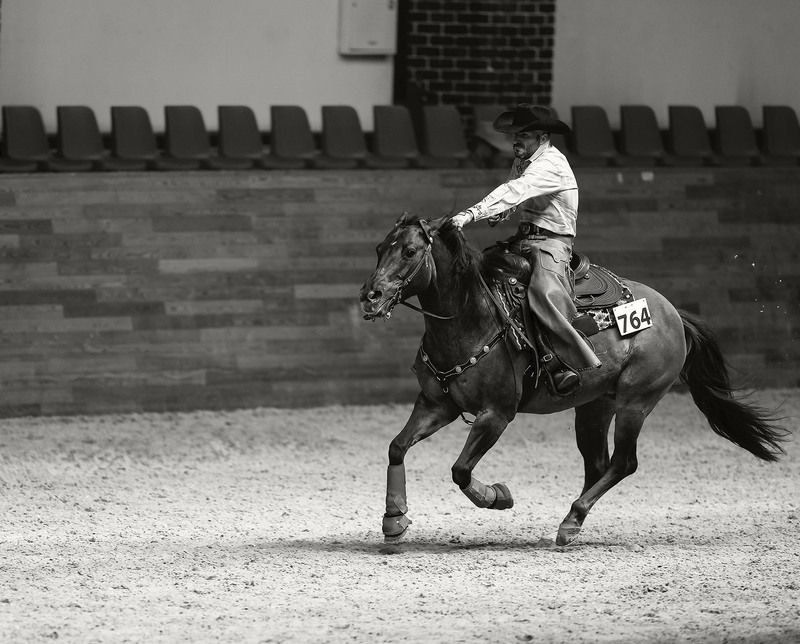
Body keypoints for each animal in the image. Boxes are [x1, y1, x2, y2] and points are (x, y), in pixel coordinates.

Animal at [359, 213, 787, 546]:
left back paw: (571, 520)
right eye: (379, 249)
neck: (471, 316)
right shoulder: (437, 404)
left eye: (409, 252)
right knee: (598, 464)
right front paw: (394, 518)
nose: (370, 296)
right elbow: (397, 447)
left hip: (636, 402)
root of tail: (672, 314)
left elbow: (461, 470)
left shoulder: (496, 414)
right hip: (595, 407)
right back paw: (571, 521)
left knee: (623, 462)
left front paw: (498, 497)